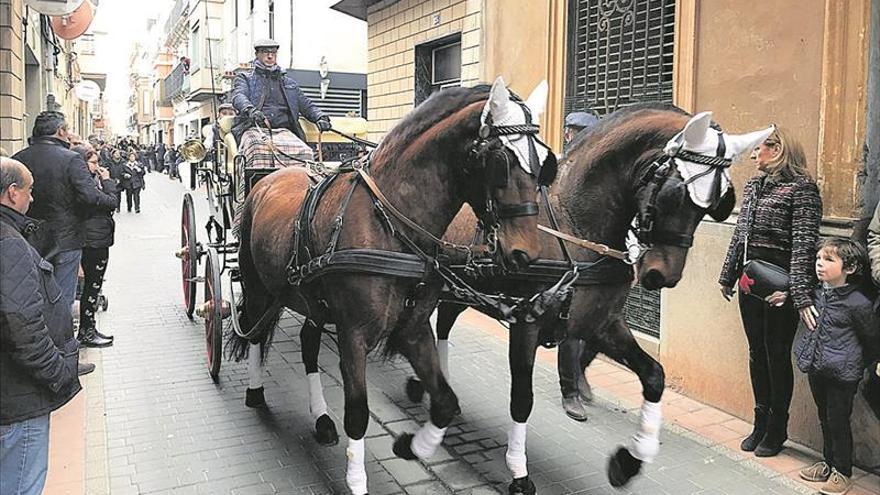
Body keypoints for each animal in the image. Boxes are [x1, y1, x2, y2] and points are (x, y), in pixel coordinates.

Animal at [230, 77, 552, 495]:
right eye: (501, 162)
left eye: (544, 164)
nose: (525, 253)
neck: (389, 225)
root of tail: (271, 176)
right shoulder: (353, 335)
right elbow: (357, 414)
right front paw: (357, 482)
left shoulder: (413, 328)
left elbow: (445, 402)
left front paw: (412, 446)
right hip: (257, 286)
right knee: (253, 332)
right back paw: (255, 392)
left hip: (310, 300)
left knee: (308, 344)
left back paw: (320, 417)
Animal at [402, 103, 772, 492]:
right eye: (674, 193)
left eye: (717, 203)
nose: (662, 275)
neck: (574, 227)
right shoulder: (526, 323)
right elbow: (522, 400)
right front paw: (519, 471)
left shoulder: (601, 324)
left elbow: (654, 375)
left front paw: (630, 460)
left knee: (442, 325)